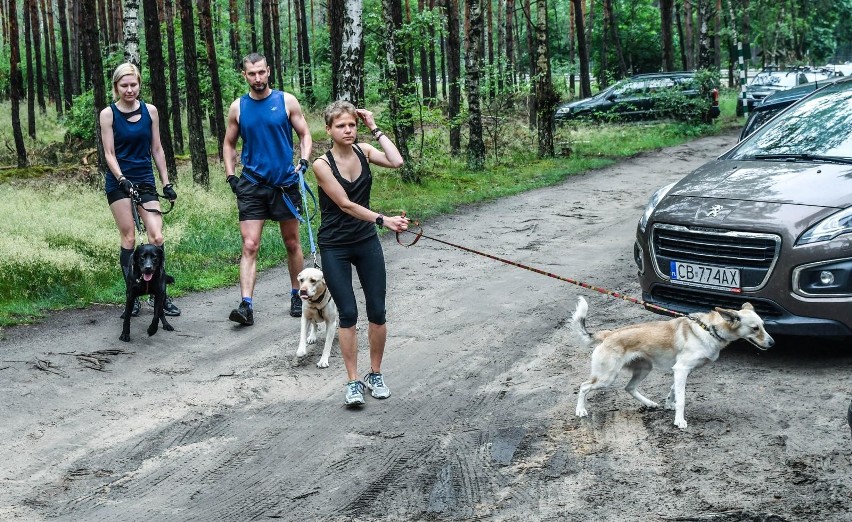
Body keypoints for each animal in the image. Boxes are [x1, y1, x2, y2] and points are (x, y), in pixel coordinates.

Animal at [572, 294, 772, 428]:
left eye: (763, 326)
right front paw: (679, 420)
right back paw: (580, 410)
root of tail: (607, 334)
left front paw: (669, 404)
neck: (709, 329)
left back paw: (649, 403)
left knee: (629, 388)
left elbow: (673, 389)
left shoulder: (682, 370)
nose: (772, 343)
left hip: (644, 369)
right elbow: (682, 398)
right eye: (755, 328)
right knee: (584, 386)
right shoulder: (682, 369)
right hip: (607, 377)